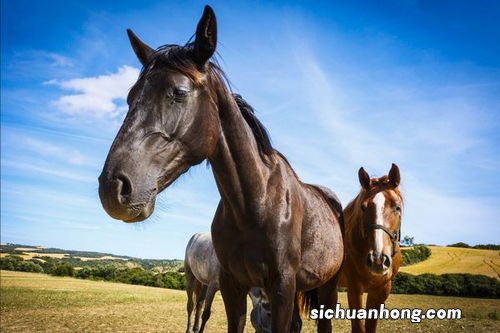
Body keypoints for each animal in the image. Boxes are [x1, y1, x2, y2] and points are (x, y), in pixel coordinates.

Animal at [99, 5, 346, 332]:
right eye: (129, 97)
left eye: (178, 92)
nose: (112, 187)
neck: (256, 204)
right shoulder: (232, 285)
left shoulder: (282, 287)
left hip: (327, 287)